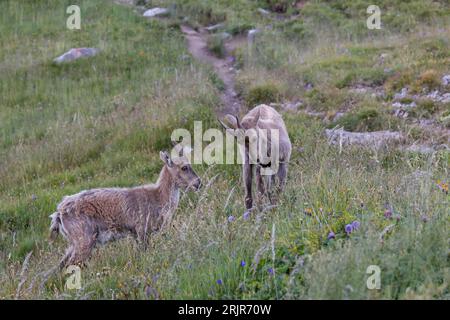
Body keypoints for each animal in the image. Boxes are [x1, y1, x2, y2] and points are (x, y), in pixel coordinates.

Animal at [48, 149, 200, 268]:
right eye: (184, 167)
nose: (199, 183)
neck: (158, 197)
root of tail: (59, 213)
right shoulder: (142, 230)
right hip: (83, 240)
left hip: (74, 243)